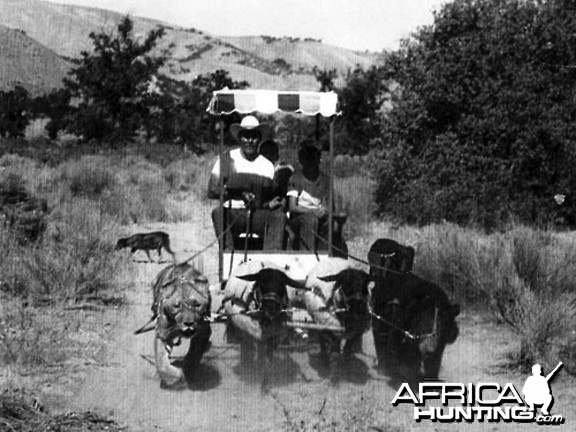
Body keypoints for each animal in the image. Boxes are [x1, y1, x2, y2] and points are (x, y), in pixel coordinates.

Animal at [148, 262, 212, 390]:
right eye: (177, 306)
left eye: (197, 305)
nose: (189, 323)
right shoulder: (162, 333)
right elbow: (161, 361)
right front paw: (175, 377)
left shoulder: (204, 332)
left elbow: (195, 353)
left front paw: (187, 370)